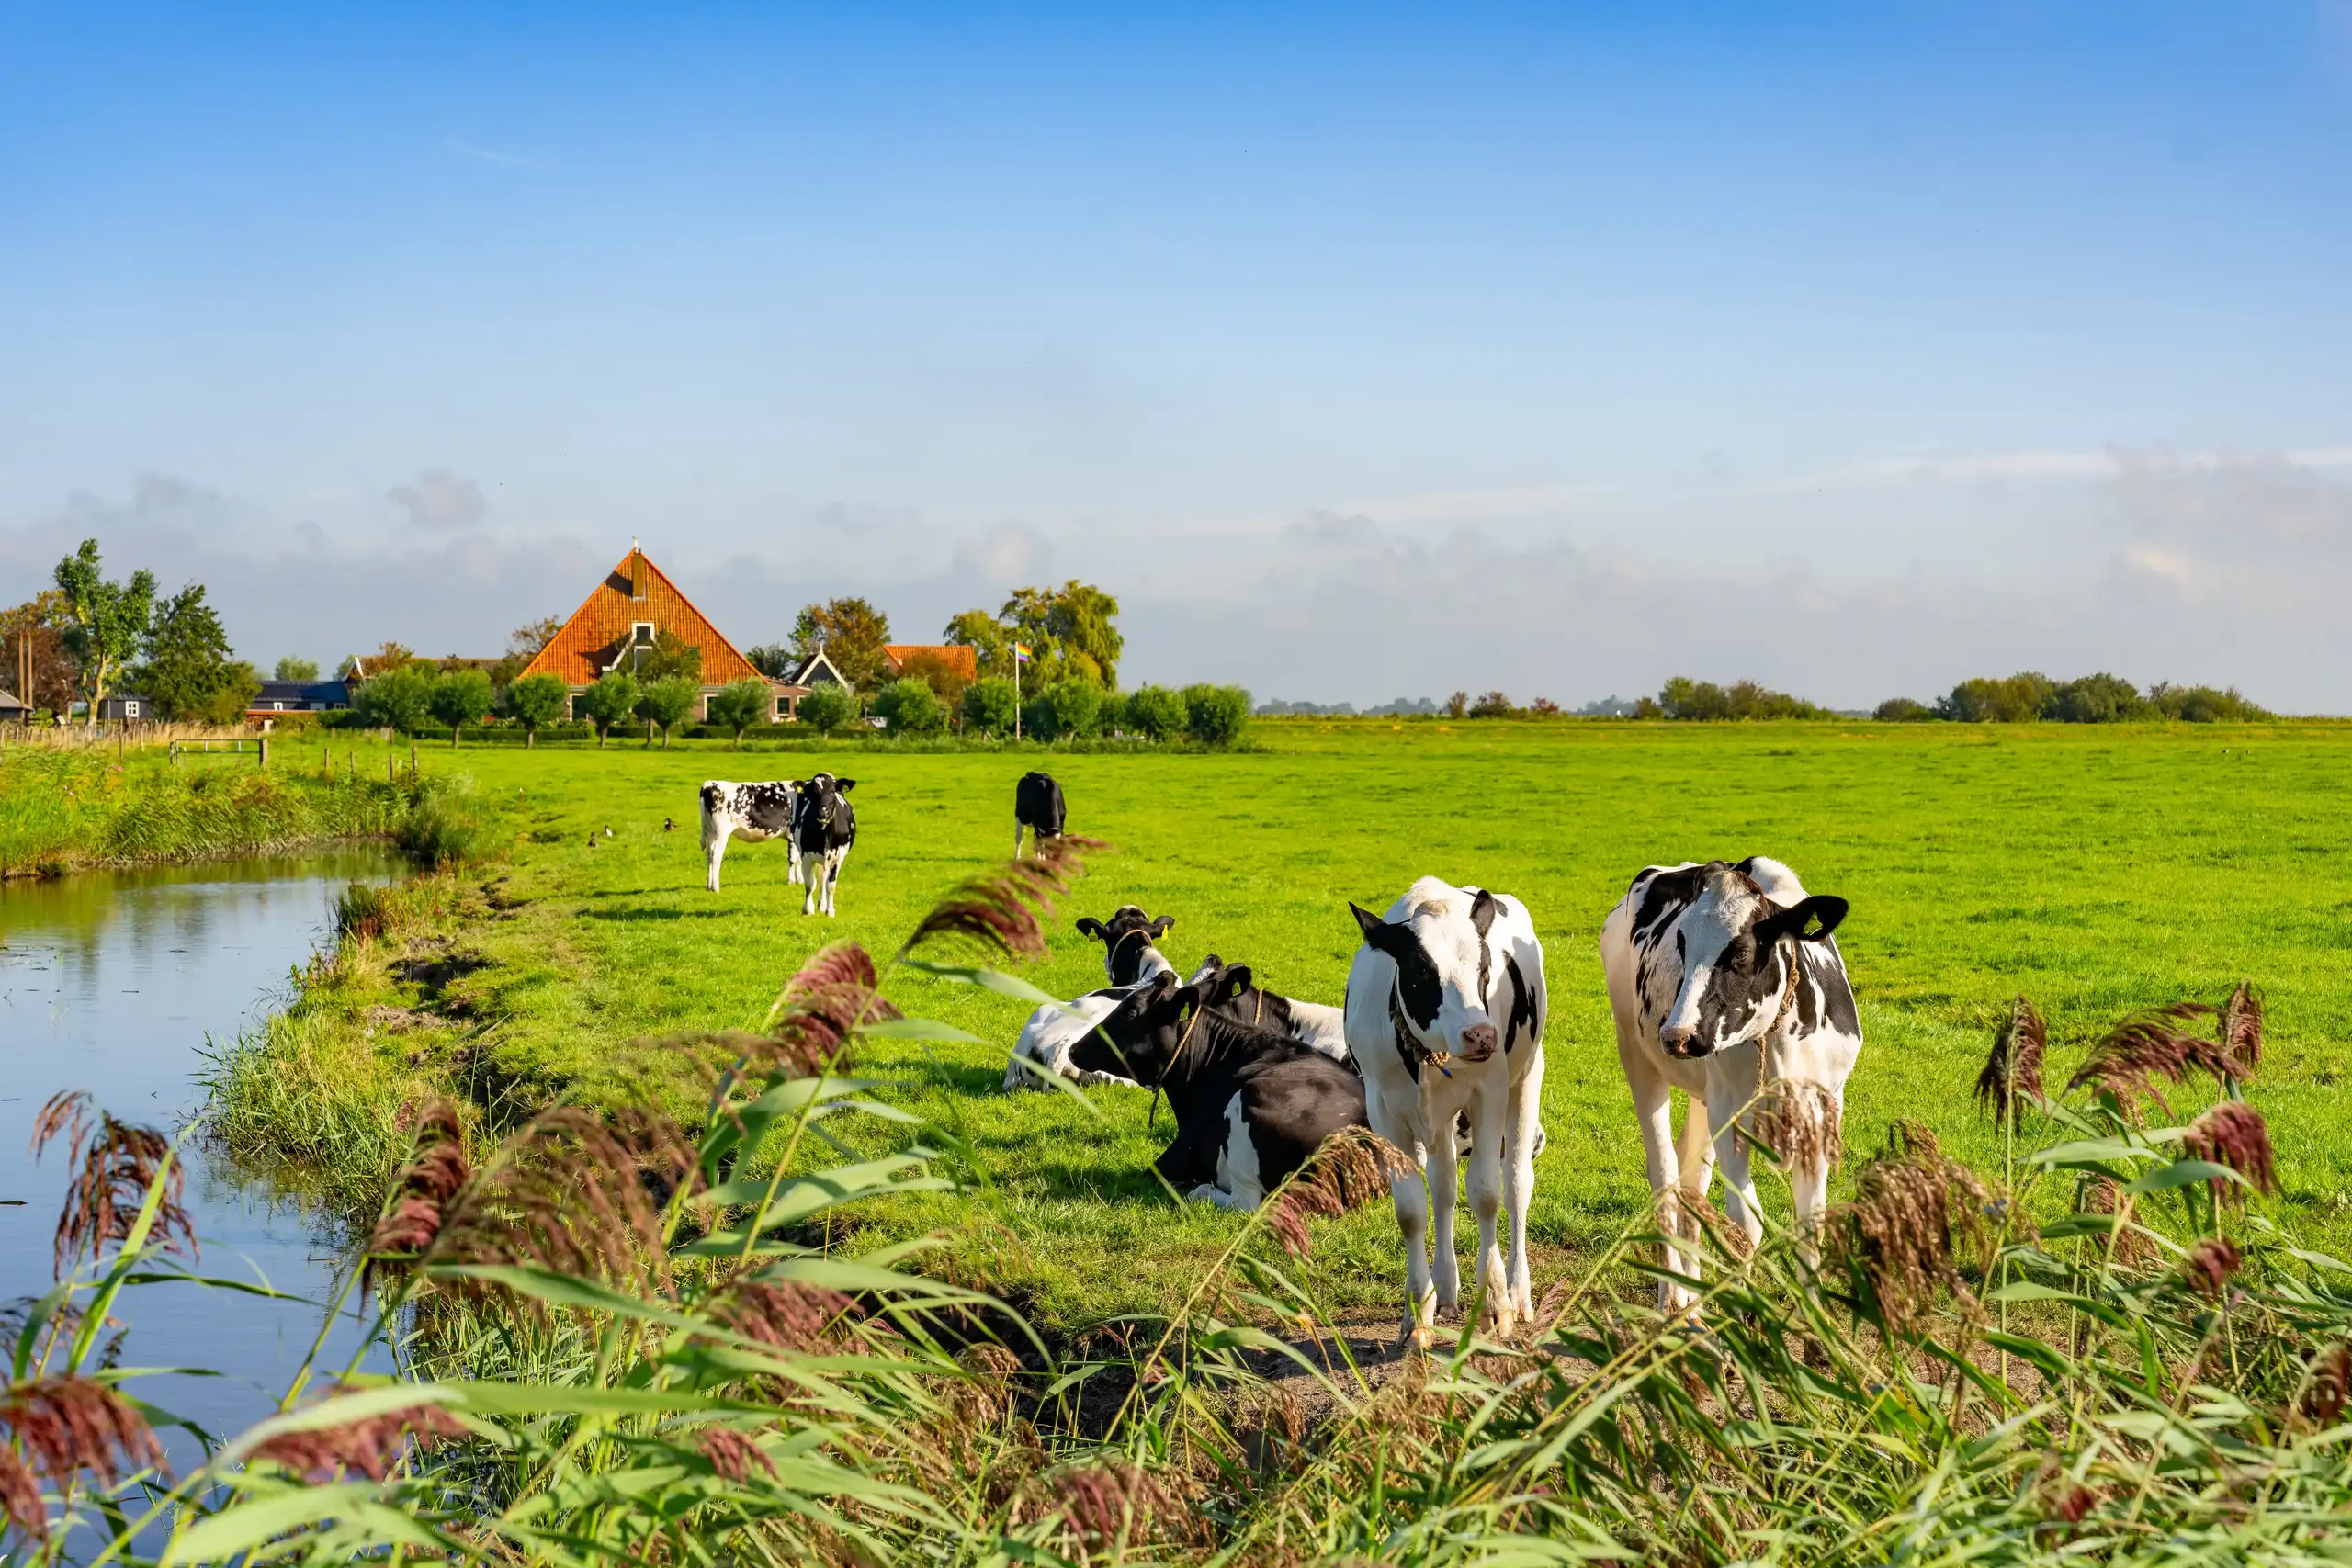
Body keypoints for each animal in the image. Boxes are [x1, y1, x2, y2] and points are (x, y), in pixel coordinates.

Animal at [789, 773, 857, 917]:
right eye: (814, 792)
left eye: (832, 791)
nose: (823, 812)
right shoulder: (806, 855)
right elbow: (810, 883)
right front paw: (808, 909)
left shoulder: (839, 856)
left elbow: (830, 884)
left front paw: (830, 911)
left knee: (823, 879)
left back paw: (823, 905)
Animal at [1343, 879, 1548, 1343]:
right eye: (1421, 971)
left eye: (1485, 970)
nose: (1481, 1035)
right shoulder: (1383, 1110)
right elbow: (1412, 1210)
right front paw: (1418, 1309)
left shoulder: (1489, 1093)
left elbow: (1487, 1193)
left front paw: (1494, 1302)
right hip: (1437, 1124)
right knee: (1443, 1186)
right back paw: (1447, 1285)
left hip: (1528, 1077)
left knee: (1517, 1184)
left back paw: (1519, 1292)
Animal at [1598, 857, 1859, 1311]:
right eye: (1681, 943)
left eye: (1741, 953)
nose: (1677, 1035)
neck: (1781, 1049)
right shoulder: (1731, 1118)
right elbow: (1745, 1226)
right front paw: (1748, 1317)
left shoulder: (1821, 1116)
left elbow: (1810, 1226)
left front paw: (1814, 1325)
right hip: (1637, 1057)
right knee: (1665, 1175)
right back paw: (1671, 1301)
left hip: (1704, 1099)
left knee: (1693, 1178)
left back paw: (1693, 1299)